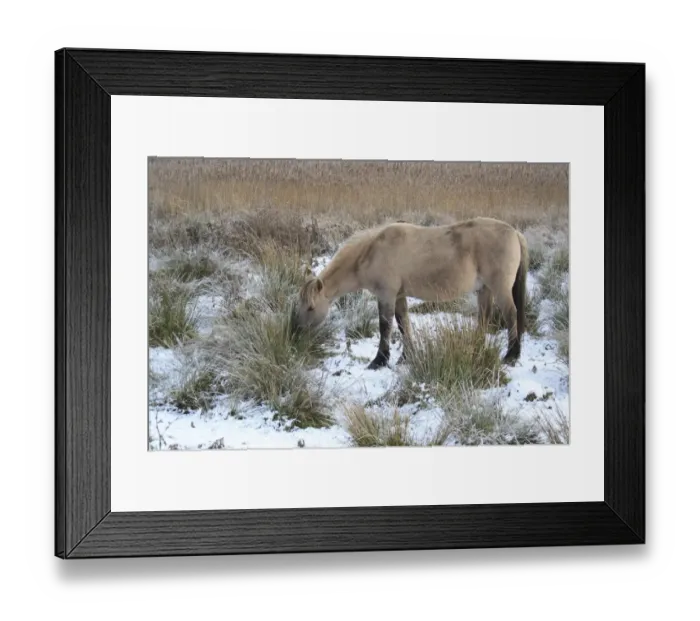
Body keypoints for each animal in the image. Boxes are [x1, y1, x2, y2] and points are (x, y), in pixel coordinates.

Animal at [293, 216, 529, 370]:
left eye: (311, 307)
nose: (296, 334)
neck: (370, 251)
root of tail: (515, 233)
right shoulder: (399, 296)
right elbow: (403, 323)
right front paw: (406, 357)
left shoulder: (386, 295)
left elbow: (386, 326)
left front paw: (379, 360)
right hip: (484, 290)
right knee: (484, 318)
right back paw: (476, 349)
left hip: (500, 288)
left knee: (511, 315)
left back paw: (511, 355)